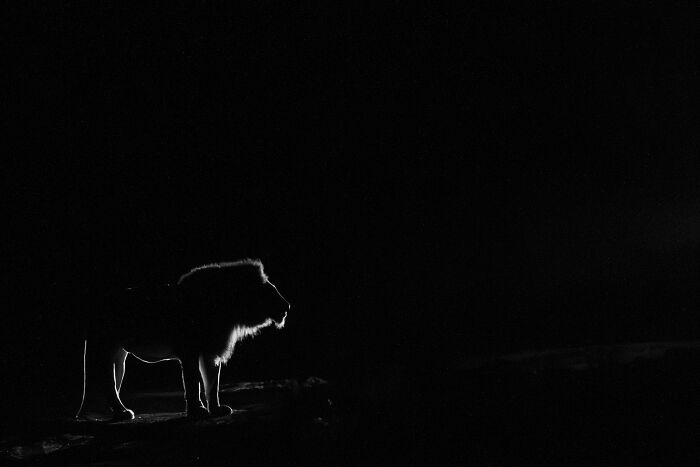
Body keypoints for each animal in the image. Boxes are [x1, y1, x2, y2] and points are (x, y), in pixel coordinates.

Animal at [75, 259, 290, 421]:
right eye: (267, 288)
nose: (287, 306)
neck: (227, 308)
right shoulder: (190, 351)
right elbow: (193, 383)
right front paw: (197, 411)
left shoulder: (210, 351)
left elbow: (212, 384)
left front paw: (216, 410)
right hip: (105, 347)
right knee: (108, 384)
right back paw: (121, 413)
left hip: (119, 355)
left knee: (113, 380)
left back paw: (116, 412)